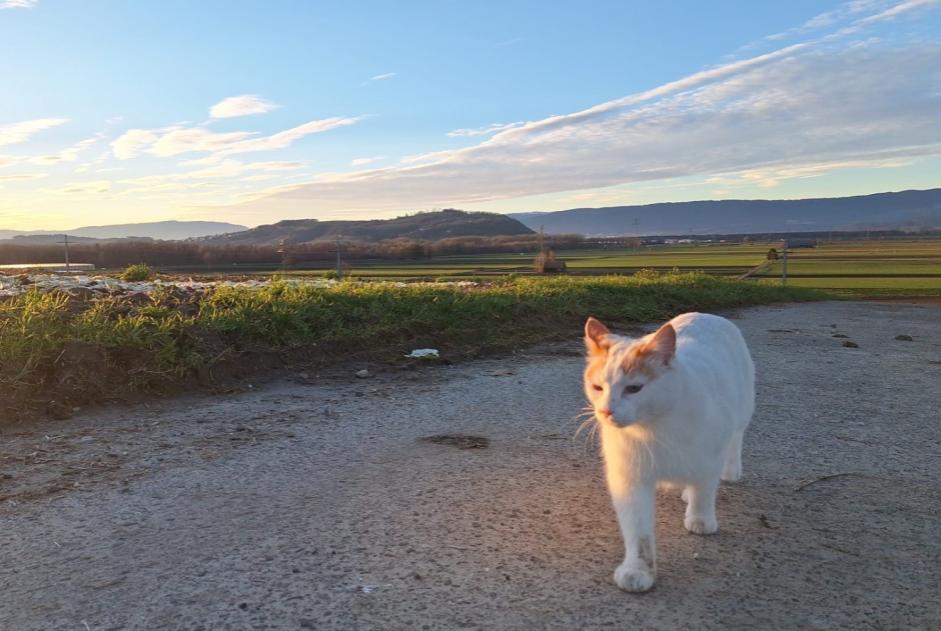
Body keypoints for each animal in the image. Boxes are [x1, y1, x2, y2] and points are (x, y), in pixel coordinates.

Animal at [580, 314, 756, 596]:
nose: (606, 411)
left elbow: (704, 492)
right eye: (597, 387)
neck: (653, 428)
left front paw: (700, 519)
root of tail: (706, 314)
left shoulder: (709, 459)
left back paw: (729, 472)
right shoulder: (630, 480)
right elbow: (638, 532)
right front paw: (638, 570)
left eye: (634, 388)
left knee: (736, 439)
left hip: (743, 410)